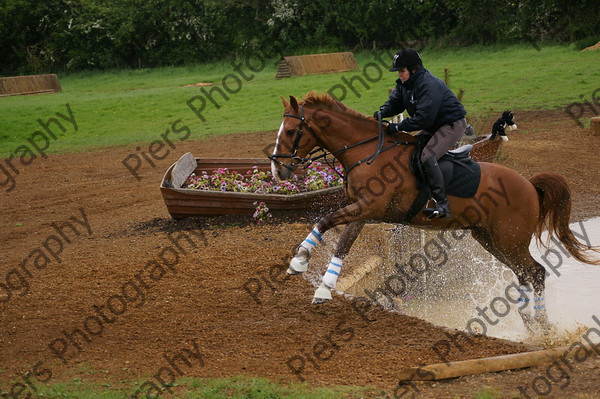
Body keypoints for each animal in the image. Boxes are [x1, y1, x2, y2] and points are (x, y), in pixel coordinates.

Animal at [272, 92, 600, 332]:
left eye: (291, 131)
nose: (278, 170)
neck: (368, 153)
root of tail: (530, 185)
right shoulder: (363, 211)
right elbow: (342, 242)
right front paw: (321, 286)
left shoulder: (367, 207)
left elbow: (326, 221)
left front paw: (299, 262)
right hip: (490, 239)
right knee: (524, 274)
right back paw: (530, 322)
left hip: (510, 240)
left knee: (536, 272)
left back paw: (542, 325)